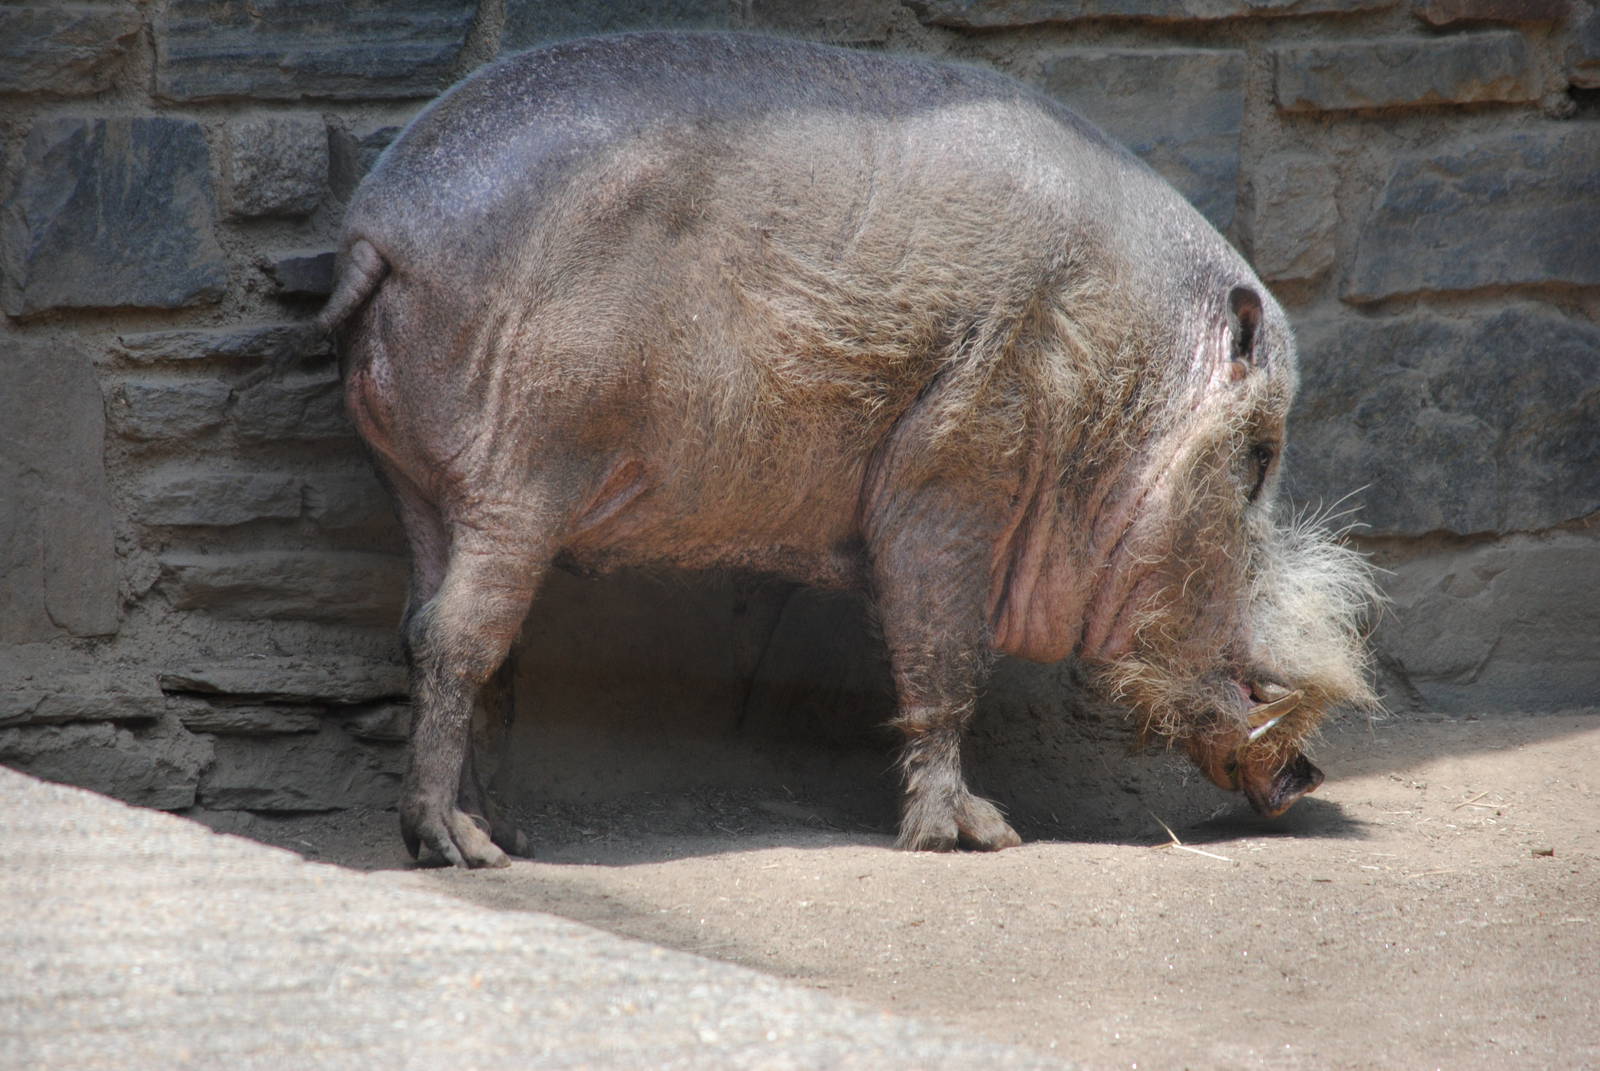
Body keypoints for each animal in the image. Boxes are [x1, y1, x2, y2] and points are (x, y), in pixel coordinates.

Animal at [320, 31, 1376, 868]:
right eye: (1258, 458)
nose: (1309, 774)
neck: (1118, 382)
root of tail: (381, 224)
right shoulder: (957, 468)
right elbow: (945, 658)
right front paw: (982, 838)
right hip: (523, 470)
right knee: (457, 636)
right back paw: (464, 849)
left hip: (418, 481)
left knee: (426, 628)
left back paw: (507, 834)